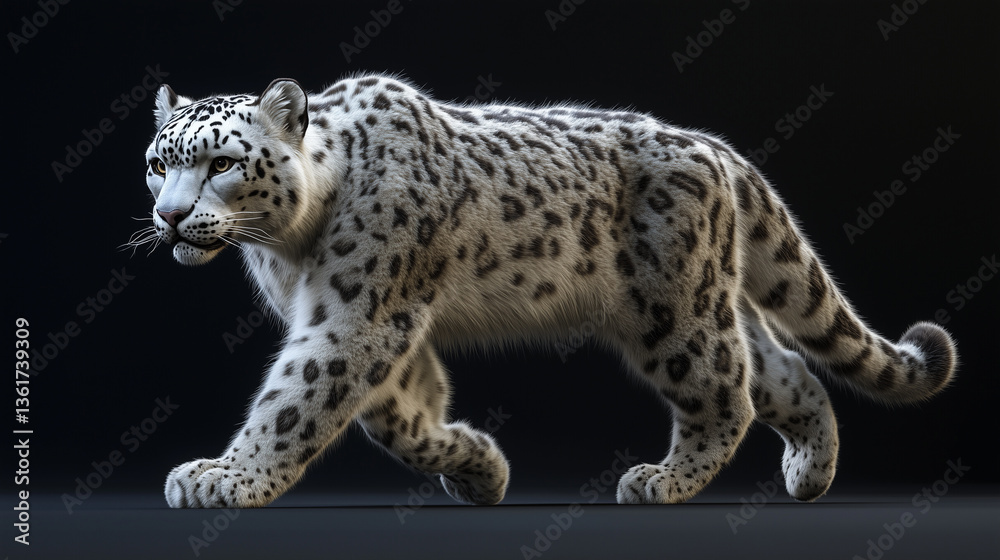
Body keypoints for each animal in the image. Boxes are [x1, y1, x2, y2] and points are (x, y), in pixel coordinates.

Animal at [136, 74, 957, 508]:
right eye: (156, 163)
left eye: (220, 163)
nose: (169, 216)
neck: (289, 248)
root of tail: (717, 150)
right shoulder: (378, 324)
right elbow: (399, 416)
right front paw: (479, 466)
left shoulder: (359, 315)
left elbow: (297, 401)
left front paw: (225, 478)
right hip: (708, 297)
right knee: (783, 370)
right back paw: (809, 474)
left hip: (675, 315)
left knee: (730, 390)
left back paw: (662, 480)